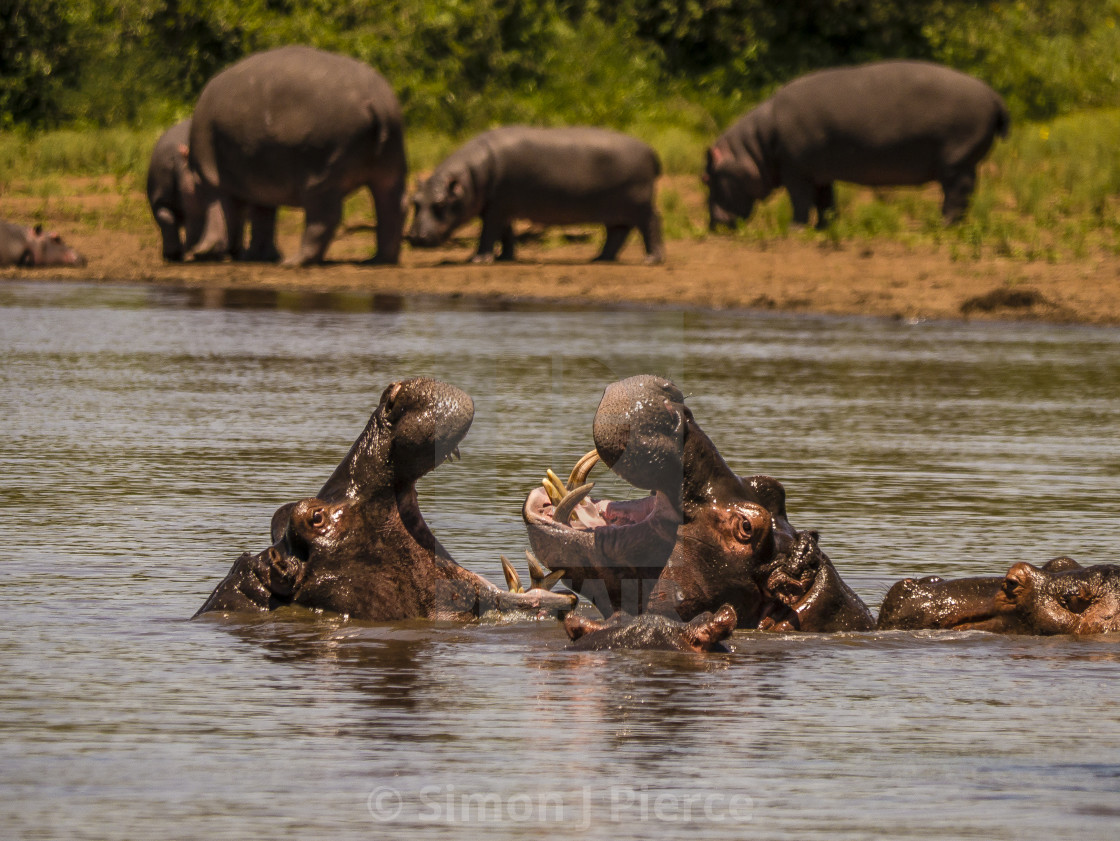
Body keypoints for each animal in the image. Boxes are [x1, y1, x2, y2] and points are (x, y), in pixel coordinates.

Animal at [183, 43, 407, 266]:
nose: (196, 252)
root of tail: (374, 100)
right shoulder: (259, 184)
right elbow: (262, 218)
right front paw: (256, 256)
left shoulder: (213, 180)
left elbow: (220, 213)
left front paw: (207, 250)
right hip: (390, 164)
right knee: (392, 205)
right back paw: (378, 259)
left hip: (320, 174)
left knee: (325, 217)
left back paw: (294, 262)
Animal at [405, 124, 658, 262]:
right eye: (415, 202)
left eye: (440, 204)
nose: (415, 236)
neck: (470, 178)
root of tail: (651, 151)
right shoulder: (498, 206)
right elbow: (505, 233)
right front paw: (504, 257)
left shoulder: (496, 208)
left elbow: (488, 233)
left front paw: (478, 259)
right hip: (616, 211)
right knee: (617, 233)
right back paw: (600, 258)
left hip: (639, 204)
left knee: (651, 223)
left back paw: (652, 259)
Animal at [707, 58, 1016, 230]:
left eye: (705, 177)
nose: (711, 225)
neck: (754, 148)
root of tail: (993, 95)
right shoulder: (819, 173)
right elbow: (825, 202)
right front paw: (824, 228)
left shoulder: (796, 173)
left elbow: (800, 202)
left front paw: (794, 229)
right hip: (962, 163)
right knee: (964, 194)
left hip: (956, 162)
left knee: (957, 194)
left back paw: (943, 225)